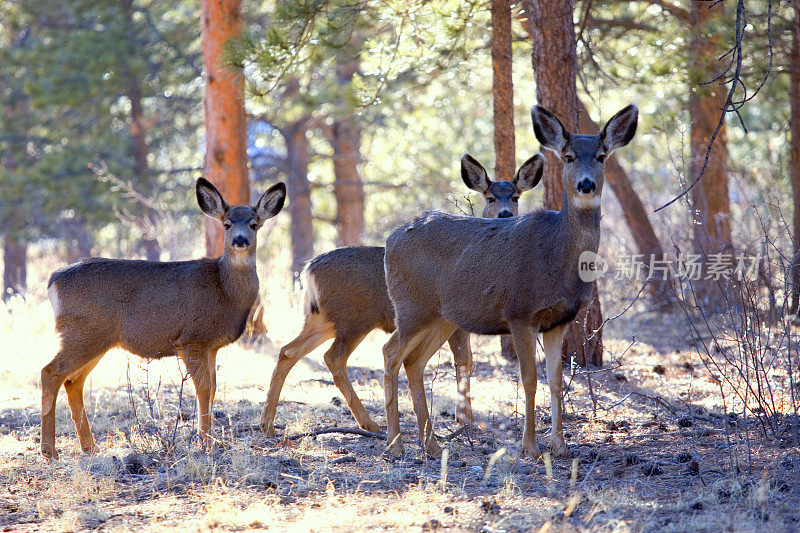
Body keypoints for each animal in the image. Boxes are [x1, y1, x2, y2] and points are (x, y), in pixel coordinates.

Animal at [42, 176, 288, 458]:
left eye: (254, 224)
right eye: (226, 223)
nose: (239, 240)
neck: (225, 291)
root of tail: (53, 281)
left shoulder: (211, 346)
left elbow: (214, 388)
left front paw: (212, 440)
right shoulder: (191, 338)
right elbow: (204, 388)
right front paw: (206, 441)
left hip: (95, 338)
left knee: (73, 381)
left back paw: (90, 447)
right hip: (83, 332)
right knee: (50, 372)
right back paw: (49, 451)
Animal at [260, 155, 548, 436]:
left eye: (516, 196)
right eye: (490, 197)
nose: (505, 213)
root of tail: (309, 269)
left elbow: (466, 359)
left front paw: (464, 417)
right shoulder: (456, 321)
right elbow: (464, 360)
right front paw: (466, 419)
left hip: (323, 319)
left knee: (288, 351)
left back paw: (268, 424)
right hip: (354, 319)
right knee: (333, 358)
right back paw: (371, 424)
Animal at [382, 104, 636, 458]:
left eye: (601, 156)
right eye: (569, 156)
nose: (586, 185)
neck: (558, 257)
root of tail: (389, 242)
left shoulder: (559, 320)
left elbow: (556, 380)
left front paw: (560, 446)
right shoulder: (520, 312)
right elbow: (529, 378)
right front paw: (530, 446)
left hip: (442, 316)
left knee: (414, 362)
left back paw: (431, 445)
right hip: (411, 306)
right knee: (390, 353)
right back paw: (396, 444)